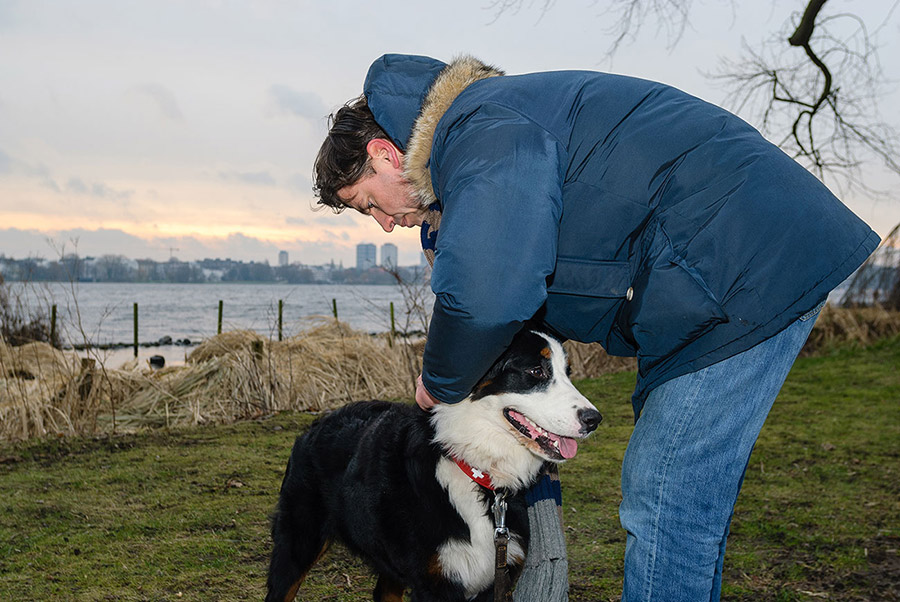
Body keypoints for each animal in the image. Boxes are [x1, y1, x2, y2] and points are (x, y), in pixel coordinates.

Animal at [268, 330, 604, 596]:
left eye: (567, 372)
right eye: (536, 371)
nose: (594, 420)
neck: (473, 468)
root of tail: (317, 421)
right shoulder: (435, 582)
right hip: (297, 546)